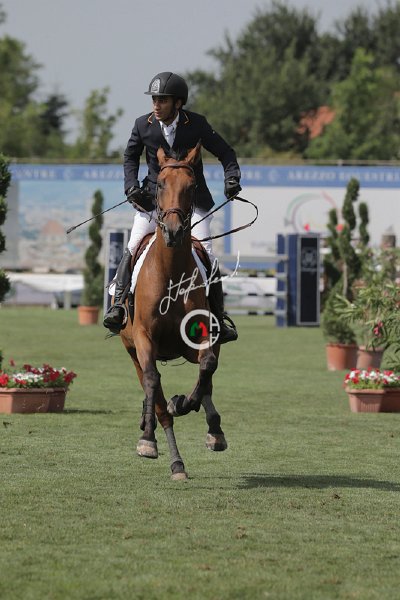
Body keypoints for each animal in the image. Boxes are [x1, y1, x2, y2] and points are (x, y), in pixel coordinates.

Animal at [120, 143, 227, 480]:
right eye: (160, 186)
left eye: (192, 187)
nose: (174, 232)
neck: (171, 273)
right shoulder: (143, 339)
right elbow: (154, 383)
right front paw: (153, 442)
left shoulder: (201, 337)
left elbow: (206, 369)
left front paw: (183, 403)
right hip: (132, 349)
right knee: (149, 383)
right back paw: (157, 441)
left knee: (206, 379)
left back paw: (213, 431)